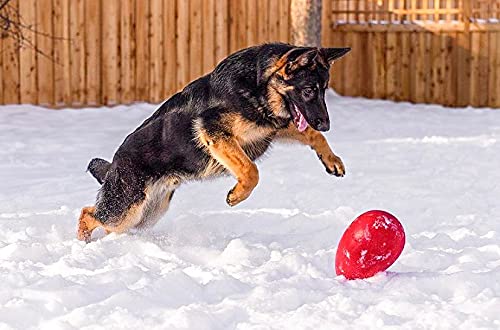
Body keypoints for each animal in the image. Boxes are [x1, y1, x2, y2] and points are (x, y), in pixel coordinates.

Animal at [78, 42, 352, 241]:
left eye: (324, 90)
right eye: (308, 91)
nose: (326, 124)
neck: (257, 85)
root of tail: (115, 162)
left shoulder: (270, 128)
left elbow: (313, 135)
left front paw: (332, 160)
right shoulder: (215, 133)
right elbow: (251, 171)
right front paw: (237, 195)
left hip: (145, 215)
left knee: (103, 219)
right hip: (126, 209)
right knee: (88, 213)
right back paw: (83, 242)